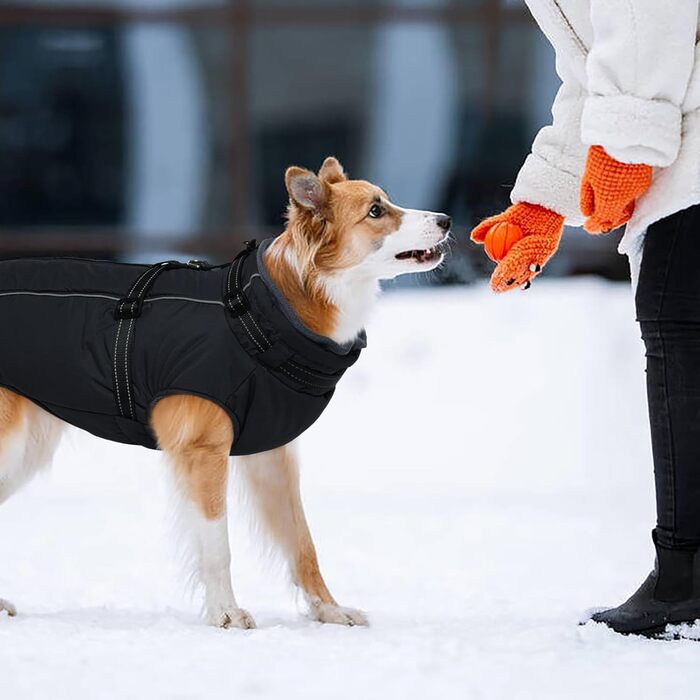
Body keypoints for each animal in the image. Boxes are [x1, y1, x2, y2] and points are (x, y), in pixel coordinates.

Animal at [0, 157, 452, 628]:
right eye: (376, 211)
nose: (446, 219)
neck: (270, 312)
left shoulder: (272, 456)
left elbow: (303, 543)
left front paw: (328, 609)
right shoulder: (204, 452)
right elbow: (218, 546)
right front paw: (226, 612)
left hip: (25, 452)